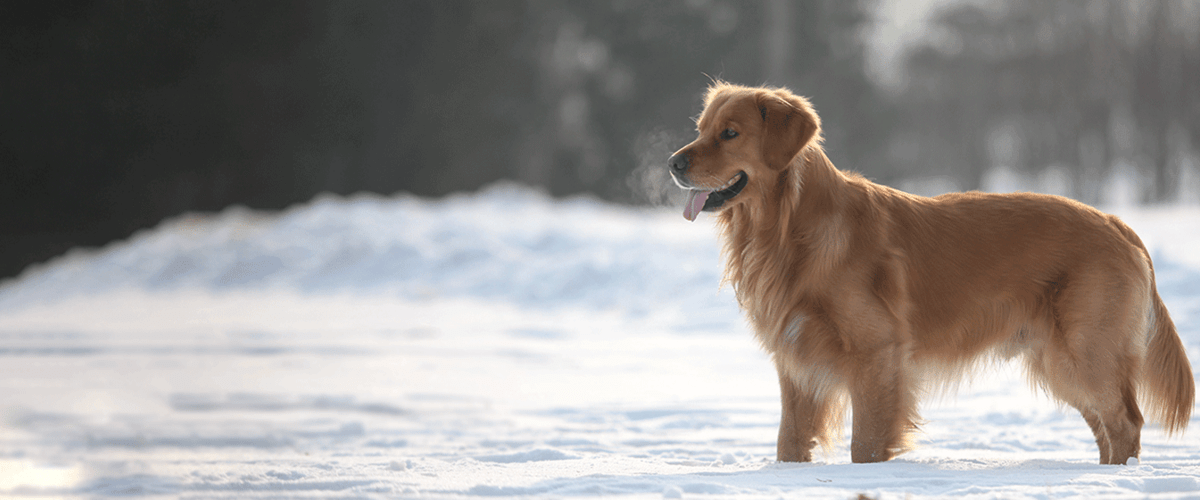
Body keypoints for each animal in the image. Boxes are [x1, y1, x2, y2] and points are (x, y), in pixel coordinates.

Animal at [667, 82, 1190, 462]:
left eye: (730, 133)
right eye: (701, 128)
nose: (672, 163)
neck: (788, 228)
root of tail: (1118, 224)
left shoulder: (877, 354)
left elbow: (866, 445)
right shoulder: (796, 362)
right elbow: (788, 443)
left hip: (1085, 351)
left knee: (1126, 422)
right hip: (1059, 361)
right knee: (1107, 428)